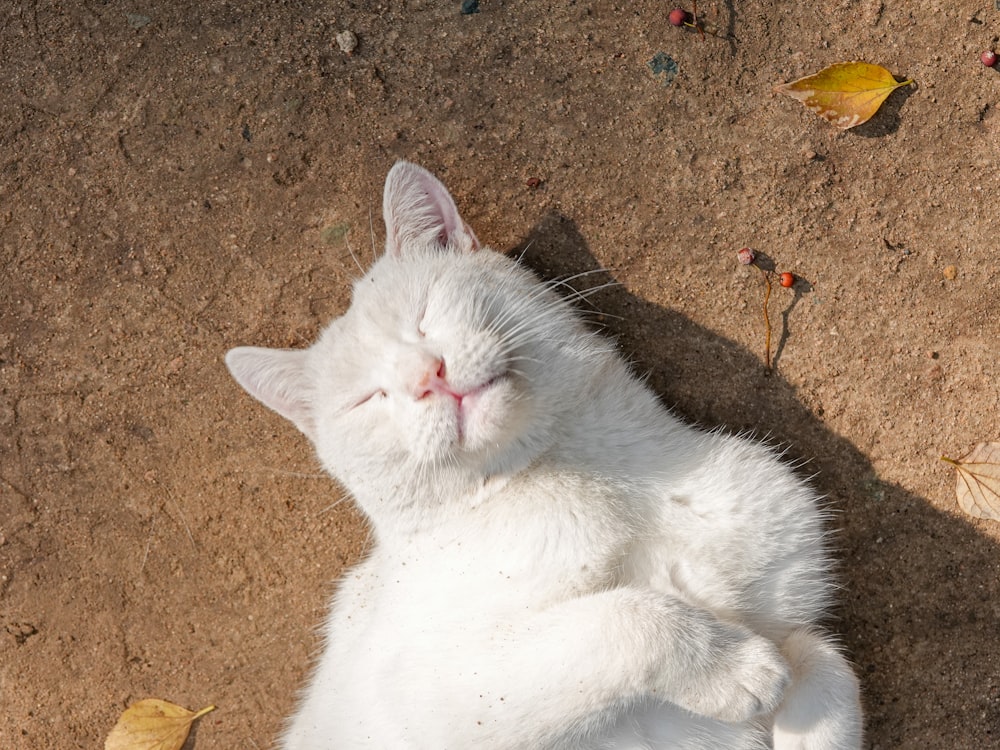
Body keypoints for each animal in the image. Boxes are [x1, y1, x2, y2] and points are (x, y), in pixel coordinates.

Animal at [225, 162, 860, 748]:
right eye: (367, 399)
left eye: (425, 314)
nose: (426, 377)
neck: (592, 479)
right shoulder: (429, 695)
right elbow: (627, 619)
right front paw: (737, 669)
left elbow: (826, 660)